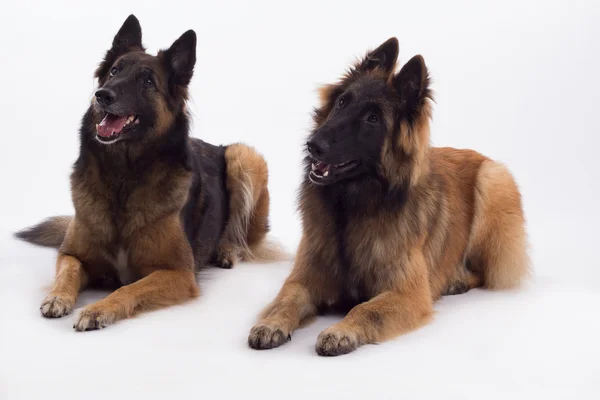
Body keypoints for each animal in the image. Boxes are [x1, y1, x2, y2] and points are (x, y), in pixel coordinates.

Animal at [16, 14, 284, 332]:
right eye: (114, 71)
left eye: (147, 81)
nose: (102, 95)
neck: (122, 176)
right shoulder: (71, 253)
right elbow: (67, 271)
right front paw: (58, 296)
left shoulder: (178, 273)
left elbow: (128, 289)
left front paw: (97, 309)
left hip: (244, 157)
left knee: (245, 238)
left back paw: (226, 249)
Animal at [248, 37, 528, 356]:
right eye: (342, 102)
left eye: (372, 119)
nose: (313, 145)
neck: (350, 207)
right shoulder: (303, 278)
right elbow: (285, 300)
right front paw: (270, 324)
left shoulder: (407, 293)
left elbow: (366, 309)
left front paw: (341, 331)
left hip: (493, 181)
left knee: (484, 271)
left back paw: (456, 279)